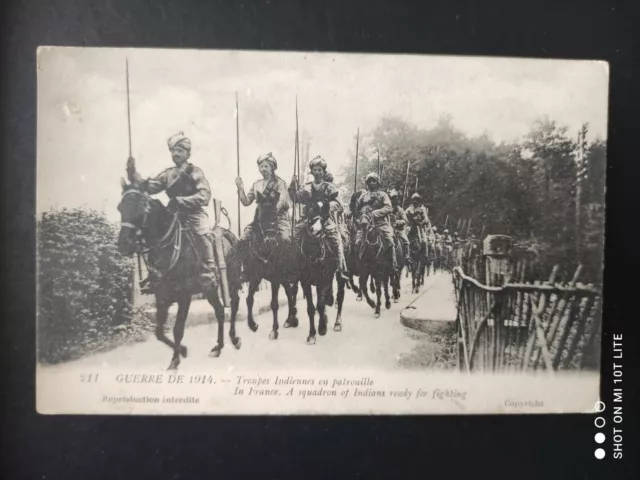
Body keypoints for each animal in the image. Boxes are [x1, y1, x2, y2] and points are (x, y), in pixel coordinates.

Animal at [115, 178, 242, 370]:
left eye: (141, 207)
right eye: (120, 208)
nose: (124, 244)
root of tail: (229, 235)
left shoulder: (184, 296)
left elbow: (177, 329)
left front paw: (175, 360)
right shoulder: (162, 296)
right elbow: (159, 332)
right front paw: (182, 351)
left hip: (231, 282)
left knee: (233, 305)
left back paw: (234, 339)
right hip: (209, 288)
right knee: (220, 311)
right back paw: (218, 346)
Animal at [231, 202, 298, 342]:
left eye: (275, 217)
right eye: (261, 216)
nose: (271, 241)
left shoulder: (275, 279)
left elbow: (274, 304)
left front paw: (274, 330)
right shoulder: (255, 277)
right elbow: (249, 299)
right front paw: (252, 325)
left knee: (293, 292)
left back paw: (293, 318)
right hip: (283, 278)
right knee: (289, 293)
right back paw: (289, 319)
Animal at [298, 201, 348, 344]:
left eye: (324, 218)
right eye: (311, 214)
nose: (315, 231)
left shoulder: (324, 279)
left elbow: (320, 304)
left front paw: (322, 329)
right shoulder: (305, 282)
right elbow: (311, 308)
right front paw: (311, 334)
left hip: (339, 276)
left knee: (340, 296)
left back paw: (337, 323)